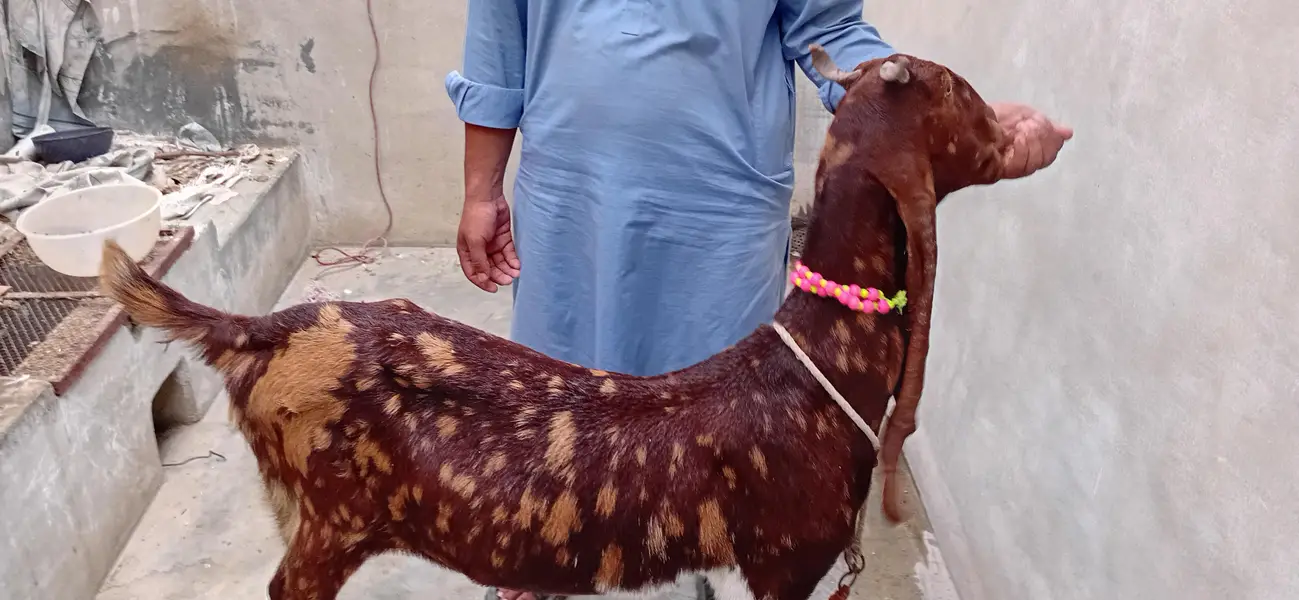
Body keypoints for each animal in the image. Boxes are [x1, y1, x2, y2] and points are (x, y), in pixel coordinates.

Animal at [98, 47, 1011, 600]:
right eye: (962, 98)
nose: (1017, 130)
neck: (815, 367)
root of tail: (257, 331)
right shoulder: (788, 557)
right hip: (333, 518)